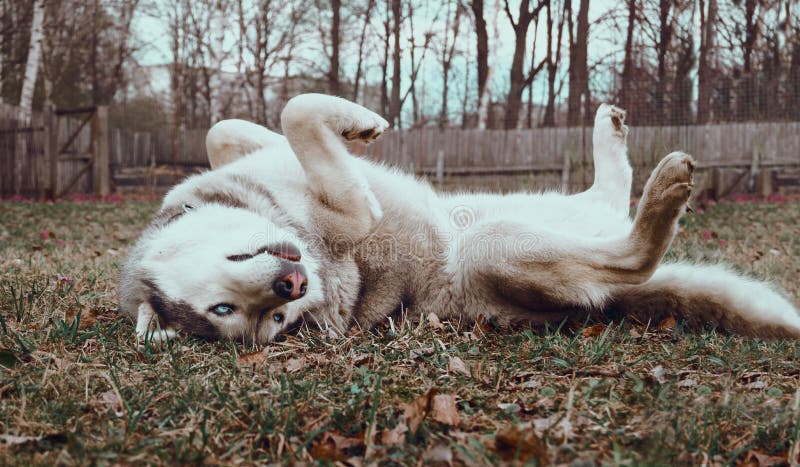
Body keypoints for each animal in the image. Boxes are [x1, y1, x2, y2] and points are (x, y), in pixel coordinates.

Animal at [119, 94, 800, 344]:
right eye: (230, 311)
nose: (291, 285)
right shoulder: (353, 212)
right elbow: (294, 115)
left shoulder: (245, 159)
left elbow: (240, 125)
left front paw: (356, 122)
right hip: (498, 244)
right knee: (630, 252)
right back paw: (664, 196)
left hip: (532, 208)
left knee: (607, 196)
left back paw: (610, 133)